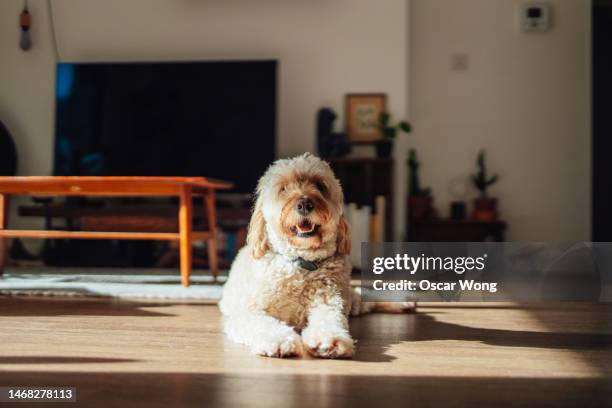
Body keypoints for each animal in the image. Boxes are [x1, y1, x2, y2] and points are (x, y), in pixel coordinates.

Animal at [218, 153, 414, 356]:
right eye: (283, 188)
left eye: (320, 185)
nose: (304, 204)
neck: (301, 262)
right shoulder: (248, 312)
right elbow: (264, 325)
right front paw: (279, 340)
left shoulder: (330, 302)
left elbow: (329, 320)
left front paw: (330, 340)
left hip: (348, 298)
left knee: (363, 297)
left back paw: (403, 301)